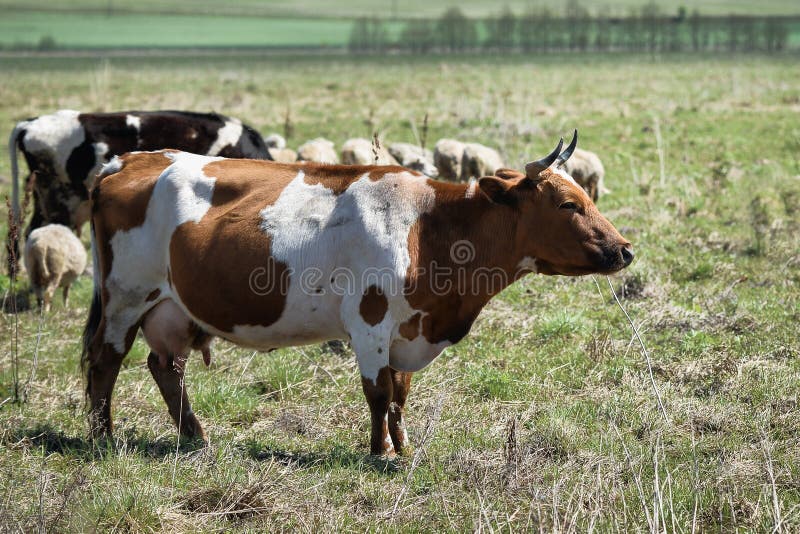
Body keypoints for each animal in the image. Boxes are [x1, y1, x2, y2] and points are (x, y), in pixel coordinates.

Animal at [82, 131, 633, 456]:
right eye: (567, 204)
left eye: (584, 196)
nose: (625, 249)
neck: (429, 227)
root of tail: (129, 160)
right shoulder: (370, 323)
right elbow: (379, 392)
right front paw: (379, 453)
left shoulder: (407, 330)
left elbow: (401, 394)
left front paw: (403, 448)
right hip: (126, 296)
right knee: (105, 361)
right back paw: (103, 437)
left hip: (171, 308)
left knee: (165, 367)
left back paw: (195, 437)